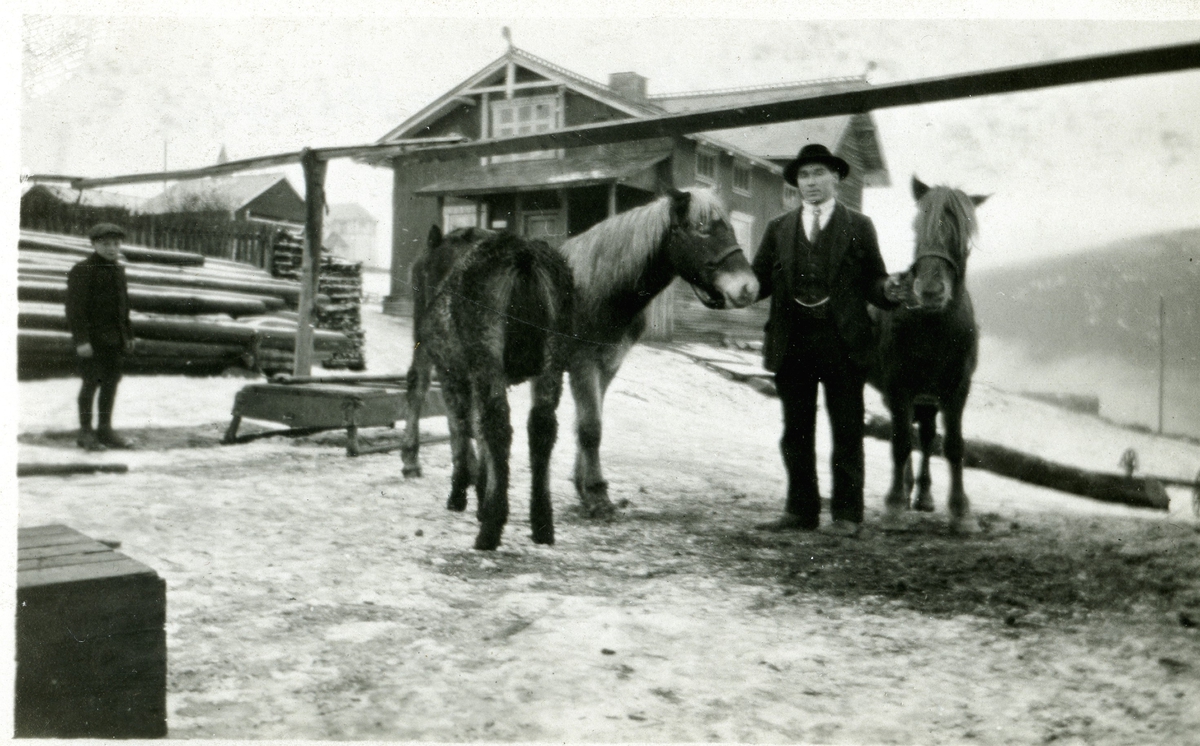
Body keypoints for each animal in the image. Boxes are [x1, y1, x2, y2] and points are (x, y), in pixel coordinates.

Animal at [868, 178, 988, 534]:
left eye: (963, 233)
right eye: (917, 226)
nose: (931, 291)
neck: (933, 324)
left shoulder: (956, 390)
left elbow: (953, 445)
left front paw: (961, 512)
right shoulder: (899, 386)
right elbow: (900, 442)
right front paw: (894, 505)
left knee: (925, 435)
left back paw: (921, 494)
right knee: (909, 435)